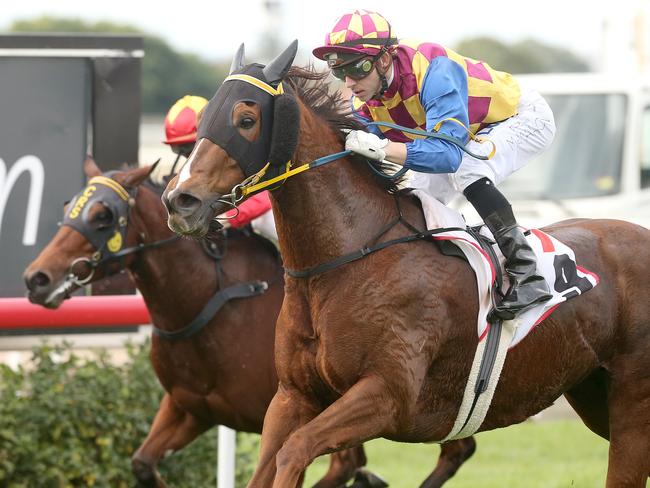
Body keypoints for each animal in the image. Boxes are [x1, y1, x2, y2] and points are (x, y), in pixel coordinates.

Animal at [24, 159, 470, 484]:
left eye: (103, 215)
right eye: (68, 207)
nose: (37, 278)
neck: (210, 301)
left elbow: (330, 464)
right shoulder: (191, 407)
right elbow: (143, 463)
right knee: (459, 448)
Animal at [161, 41, 648, 488]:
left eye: (246, 119)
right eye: (204, 120)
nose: (180, 200)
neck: (346, 261)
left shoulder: (388, 396)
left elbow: (294, 452)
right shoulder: (292, 396)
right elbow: (269, 463)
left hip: (632, 400)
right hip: (592, 392)